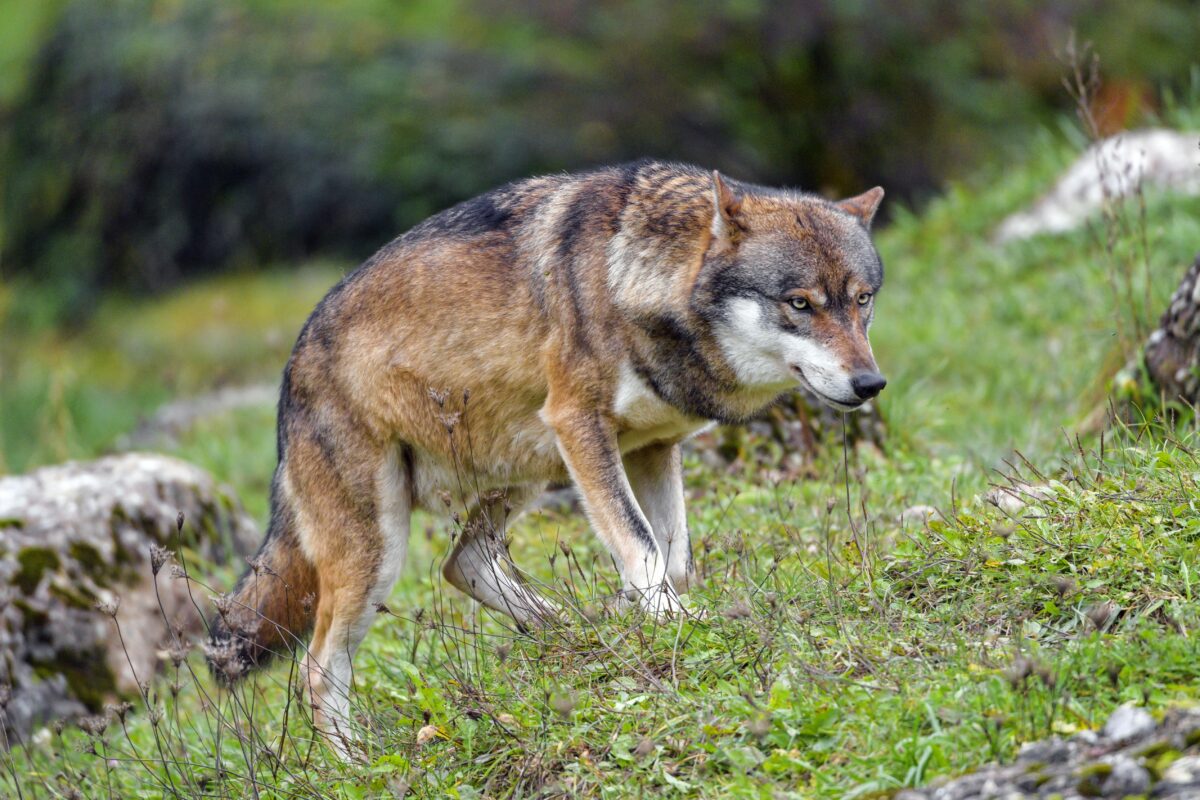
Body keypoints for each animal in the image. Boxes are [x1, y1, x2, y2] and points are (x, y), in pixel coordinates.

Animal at [206, 160, 886, 750]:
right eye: (799, 303)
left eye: (861, 300)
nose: (870, 384)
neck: (632, 280)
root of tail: (290, 372)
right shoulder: (580, 424)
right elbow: (641, 545)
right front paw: (674, 626)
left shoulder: (653, 448)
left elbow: (675, 560)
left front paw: (659, 619)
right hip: (383, 548)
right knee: (318, 670)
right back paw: (357, 765)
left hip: (532, 467)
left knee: (463, 561)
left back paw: (570, 629)